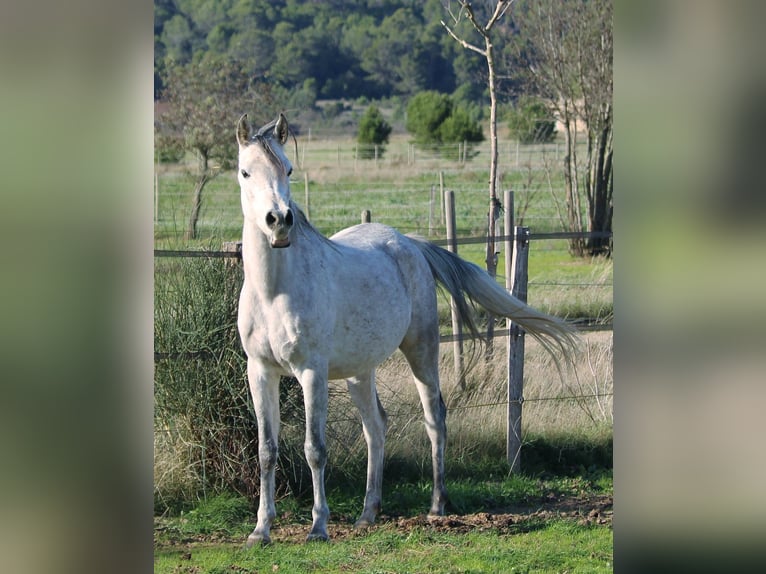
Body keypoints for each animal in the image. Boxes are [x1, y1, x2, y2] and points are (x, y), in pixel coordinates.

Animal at [237, 113, 580, 548]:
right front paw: (260, 530)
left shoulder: (311, 373)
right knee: (376, 428)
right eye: (245, 172)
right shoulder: (260, 371)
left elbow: (315, 449)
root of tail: (410, 244)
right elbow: (266, 450)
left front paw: (318, 527)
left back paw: (436, 505)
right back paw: (368, 513)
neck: (274, 291)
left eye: (289, 169)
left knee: (435, 418)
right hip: (359, 372)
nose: (279, 222)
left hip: (421, 352)